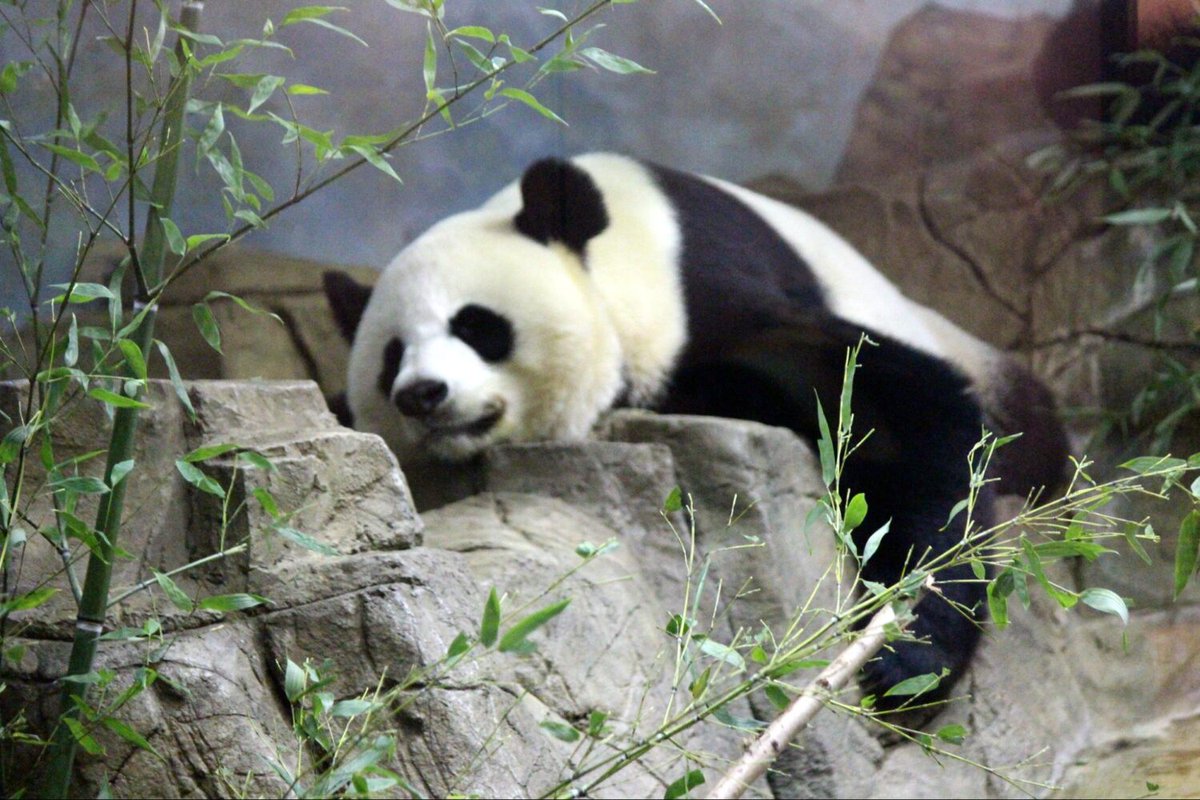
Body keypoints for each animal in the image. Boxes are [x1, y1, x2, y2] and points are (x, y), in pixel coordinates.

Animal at [323, 152, 1068, 704]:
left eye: (477, 326)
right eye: (391, 354)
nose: (421, 393)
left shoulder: (711, 295)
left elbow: (903, 423)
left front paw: (905, 658)